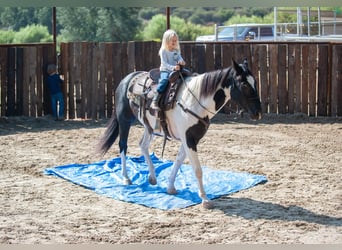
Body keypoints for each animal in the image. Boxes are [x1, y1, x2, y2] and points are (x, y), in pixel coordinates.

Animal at [96, 58, 262, 209]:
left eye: (255, 82)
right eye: (244, 84)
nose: (258, 113)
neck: (194, 100)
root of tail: (127, 79)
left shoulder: (190, 138)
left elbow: (179, 160)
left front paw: (170, 187)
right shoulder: (189, 139)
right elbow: (197, 169)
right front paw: (205, 199)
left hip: (149, 127)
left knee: (142, 145)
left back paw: (152, 177)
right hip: (124, 120)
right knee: (122, 145)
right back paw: (126, 178)